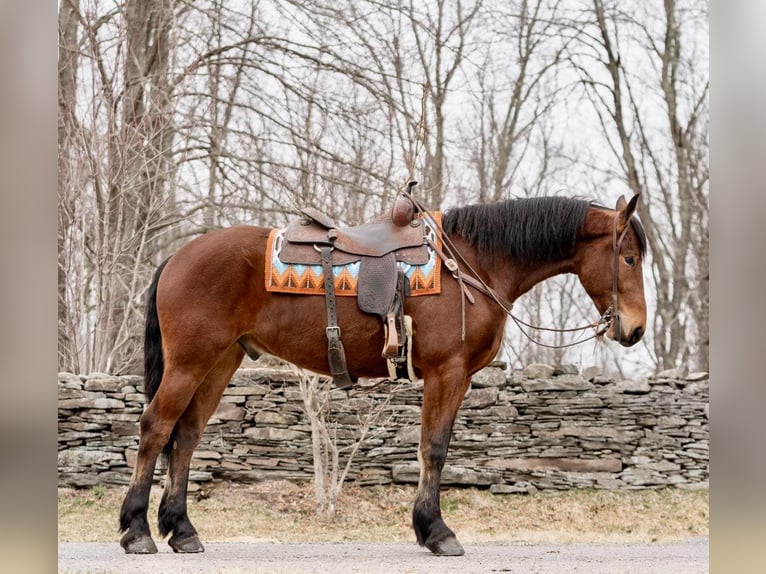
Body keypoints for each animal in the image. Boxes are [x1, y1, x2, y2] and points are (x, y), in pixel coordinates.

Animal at [118, 193, 647, 556]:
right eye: (629, 258)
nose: (636, 329)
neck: (472, 264)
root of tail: (177, 258)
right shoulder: (447, 374)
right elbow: (434, 449)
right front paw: (436, 532)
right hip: (190, 363)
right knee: (156, 428)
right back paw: (137, 531)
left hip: (219, 362)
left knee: (186, 436)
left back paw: (182, 531)